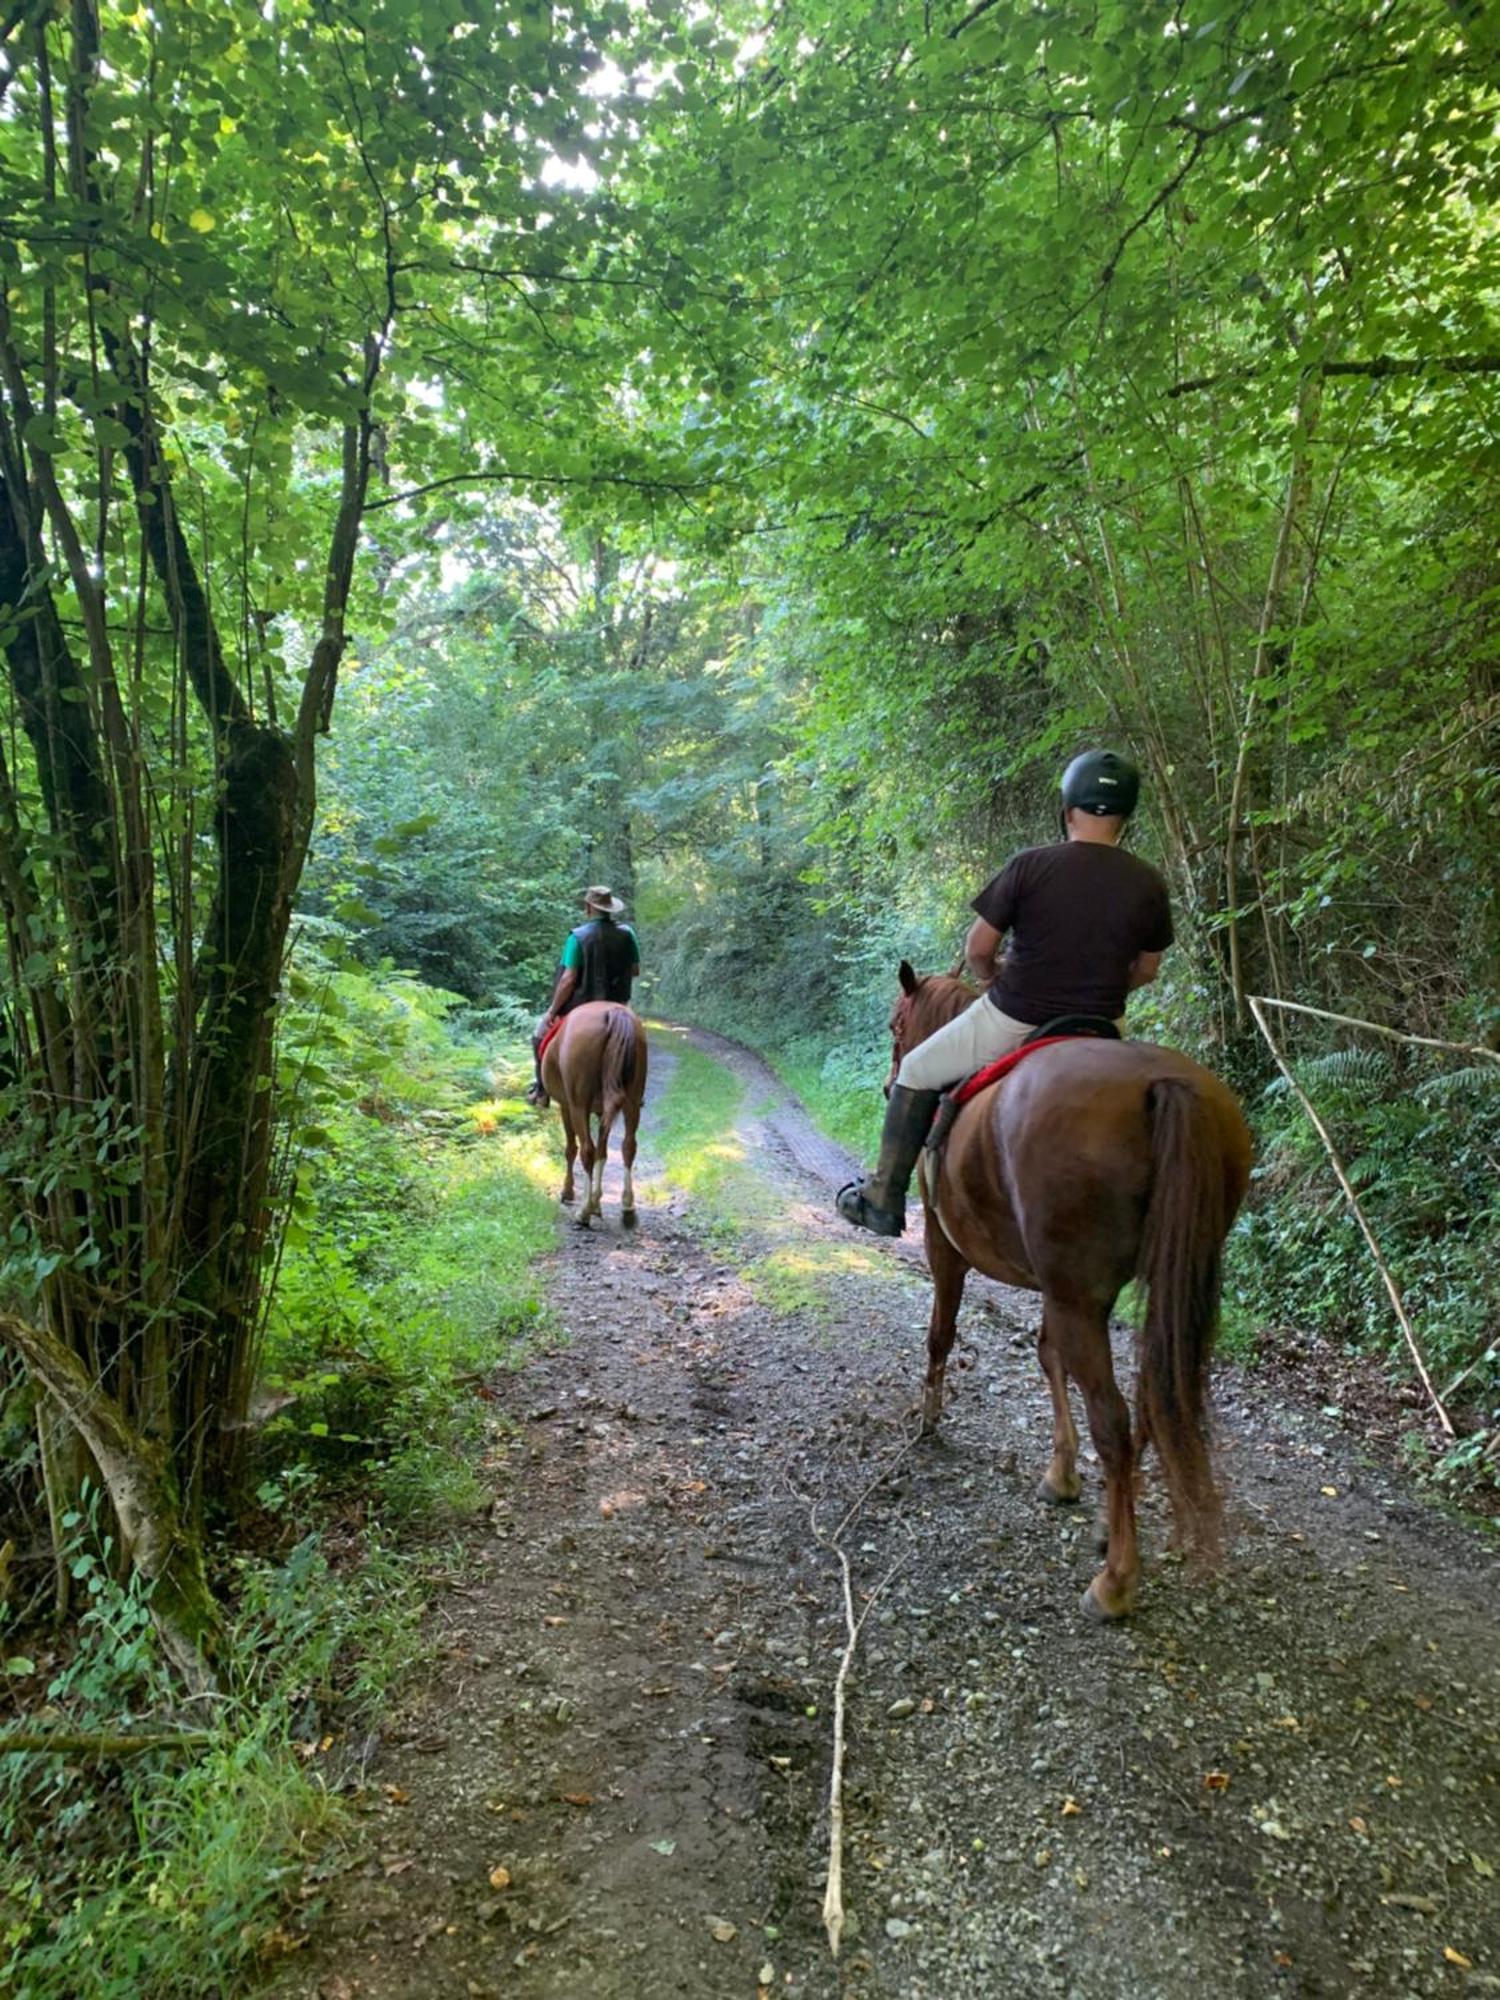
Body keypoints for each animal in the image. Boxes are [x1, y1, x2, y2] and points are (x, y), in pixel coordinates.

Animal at [548, 1008, 652, 1224]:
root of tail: (614, 1012)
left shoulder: (566, 1105)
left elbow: (572, 1149)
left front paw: (569, 1192)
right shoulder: (603, 1111)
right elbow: (602, 1153)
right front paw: (596, 1201)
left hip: (579, 1105)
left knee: (587, 1150)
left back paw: (583, 1212)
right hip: (632, 1101)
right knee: (628, 1146)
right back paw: (627, 1206)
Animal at [892, 960, 1256, 1616]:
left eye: (895, 1025)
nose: (889, 1085)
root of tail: (1165, 1085)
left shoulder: (943, 1244)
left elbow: (941, 1333)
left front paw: (930, 1418)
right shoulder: (1060, 1286)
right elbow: (1047, 1354)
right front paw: (1061, 1475)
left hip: (1078, 1294)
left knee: (1114, 1419)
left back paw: (1115, 1581)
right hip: (1159, 1286)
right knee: (1150, 1402)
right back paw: (1114, 1533)